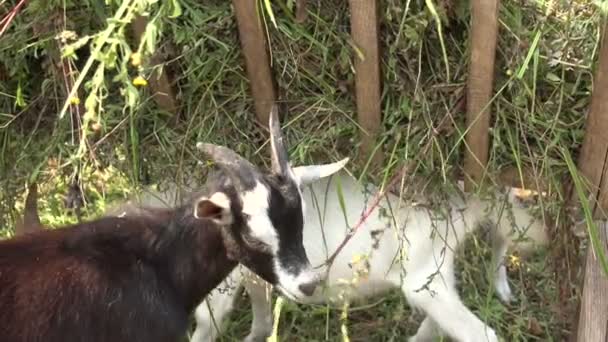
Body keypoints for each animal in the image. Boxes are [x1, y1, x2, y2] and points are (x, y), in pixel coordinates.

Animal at [114, 170, 548, 340]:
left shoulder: (214, 299)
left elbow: (207, 329)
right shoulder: (254, 276)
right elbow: (259, 312)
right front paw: (256, 335)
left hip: (424, 276)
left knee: (479, 333)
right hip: (432, 277)